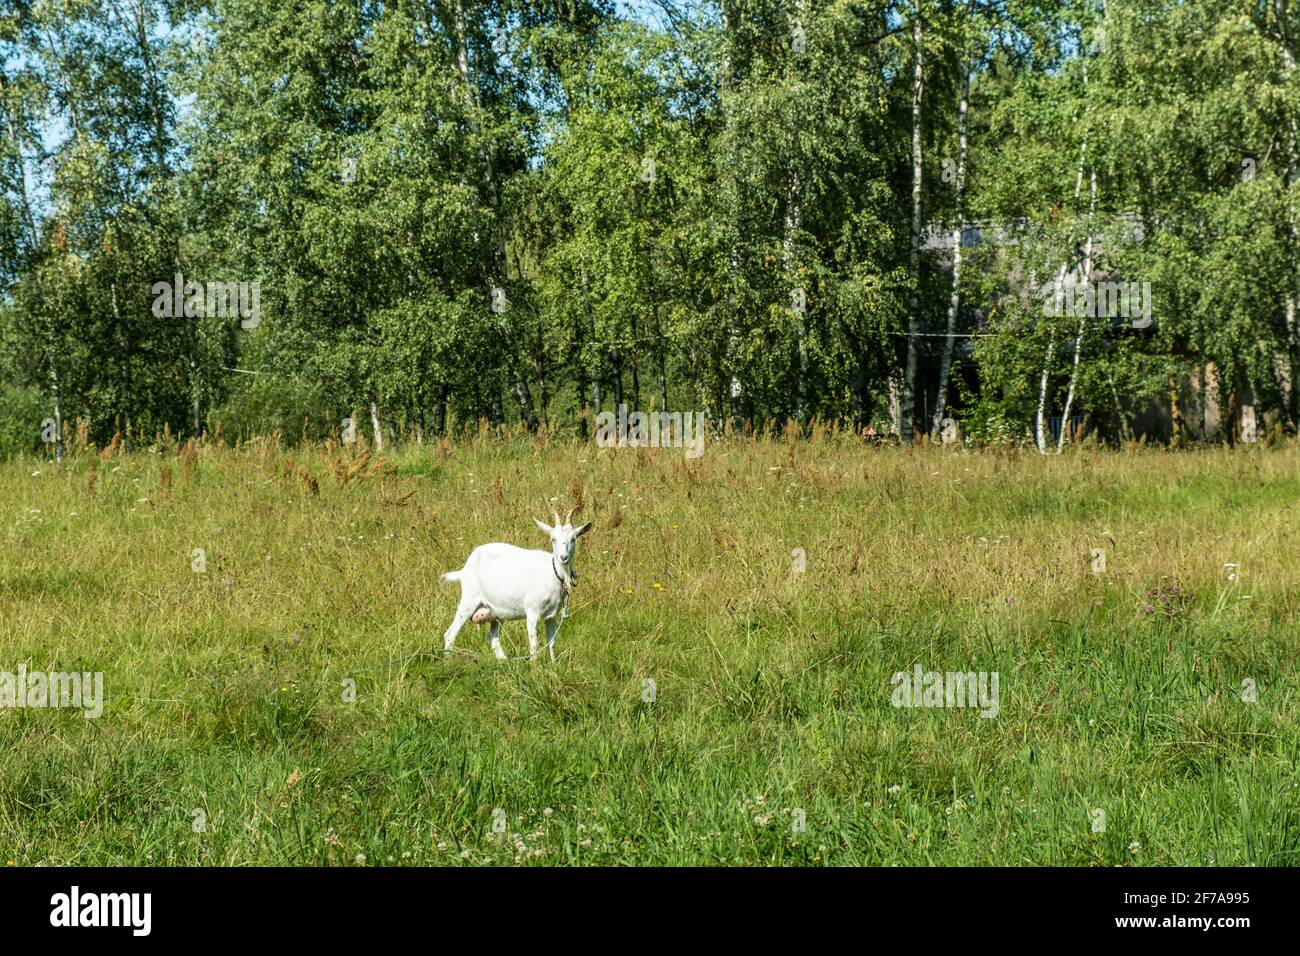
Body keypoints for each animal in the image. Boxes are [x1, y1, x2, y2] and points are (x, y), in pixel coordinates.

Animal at [440, 507, 593, 661]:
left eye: (573, 539)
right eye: (553, 539)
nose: (563, 557)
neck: (554, 573)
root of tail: (464, 569)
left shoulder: (551, 616)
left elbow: (551, 643)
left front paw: (553, 664)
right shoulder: (532, 612)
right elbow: (534, 645)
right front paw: (534, 665)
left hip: (496, 611)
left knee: (492, 637)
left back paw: (504, 661)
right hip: (469, 600)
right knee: (450, 634)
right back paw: (448, 661)